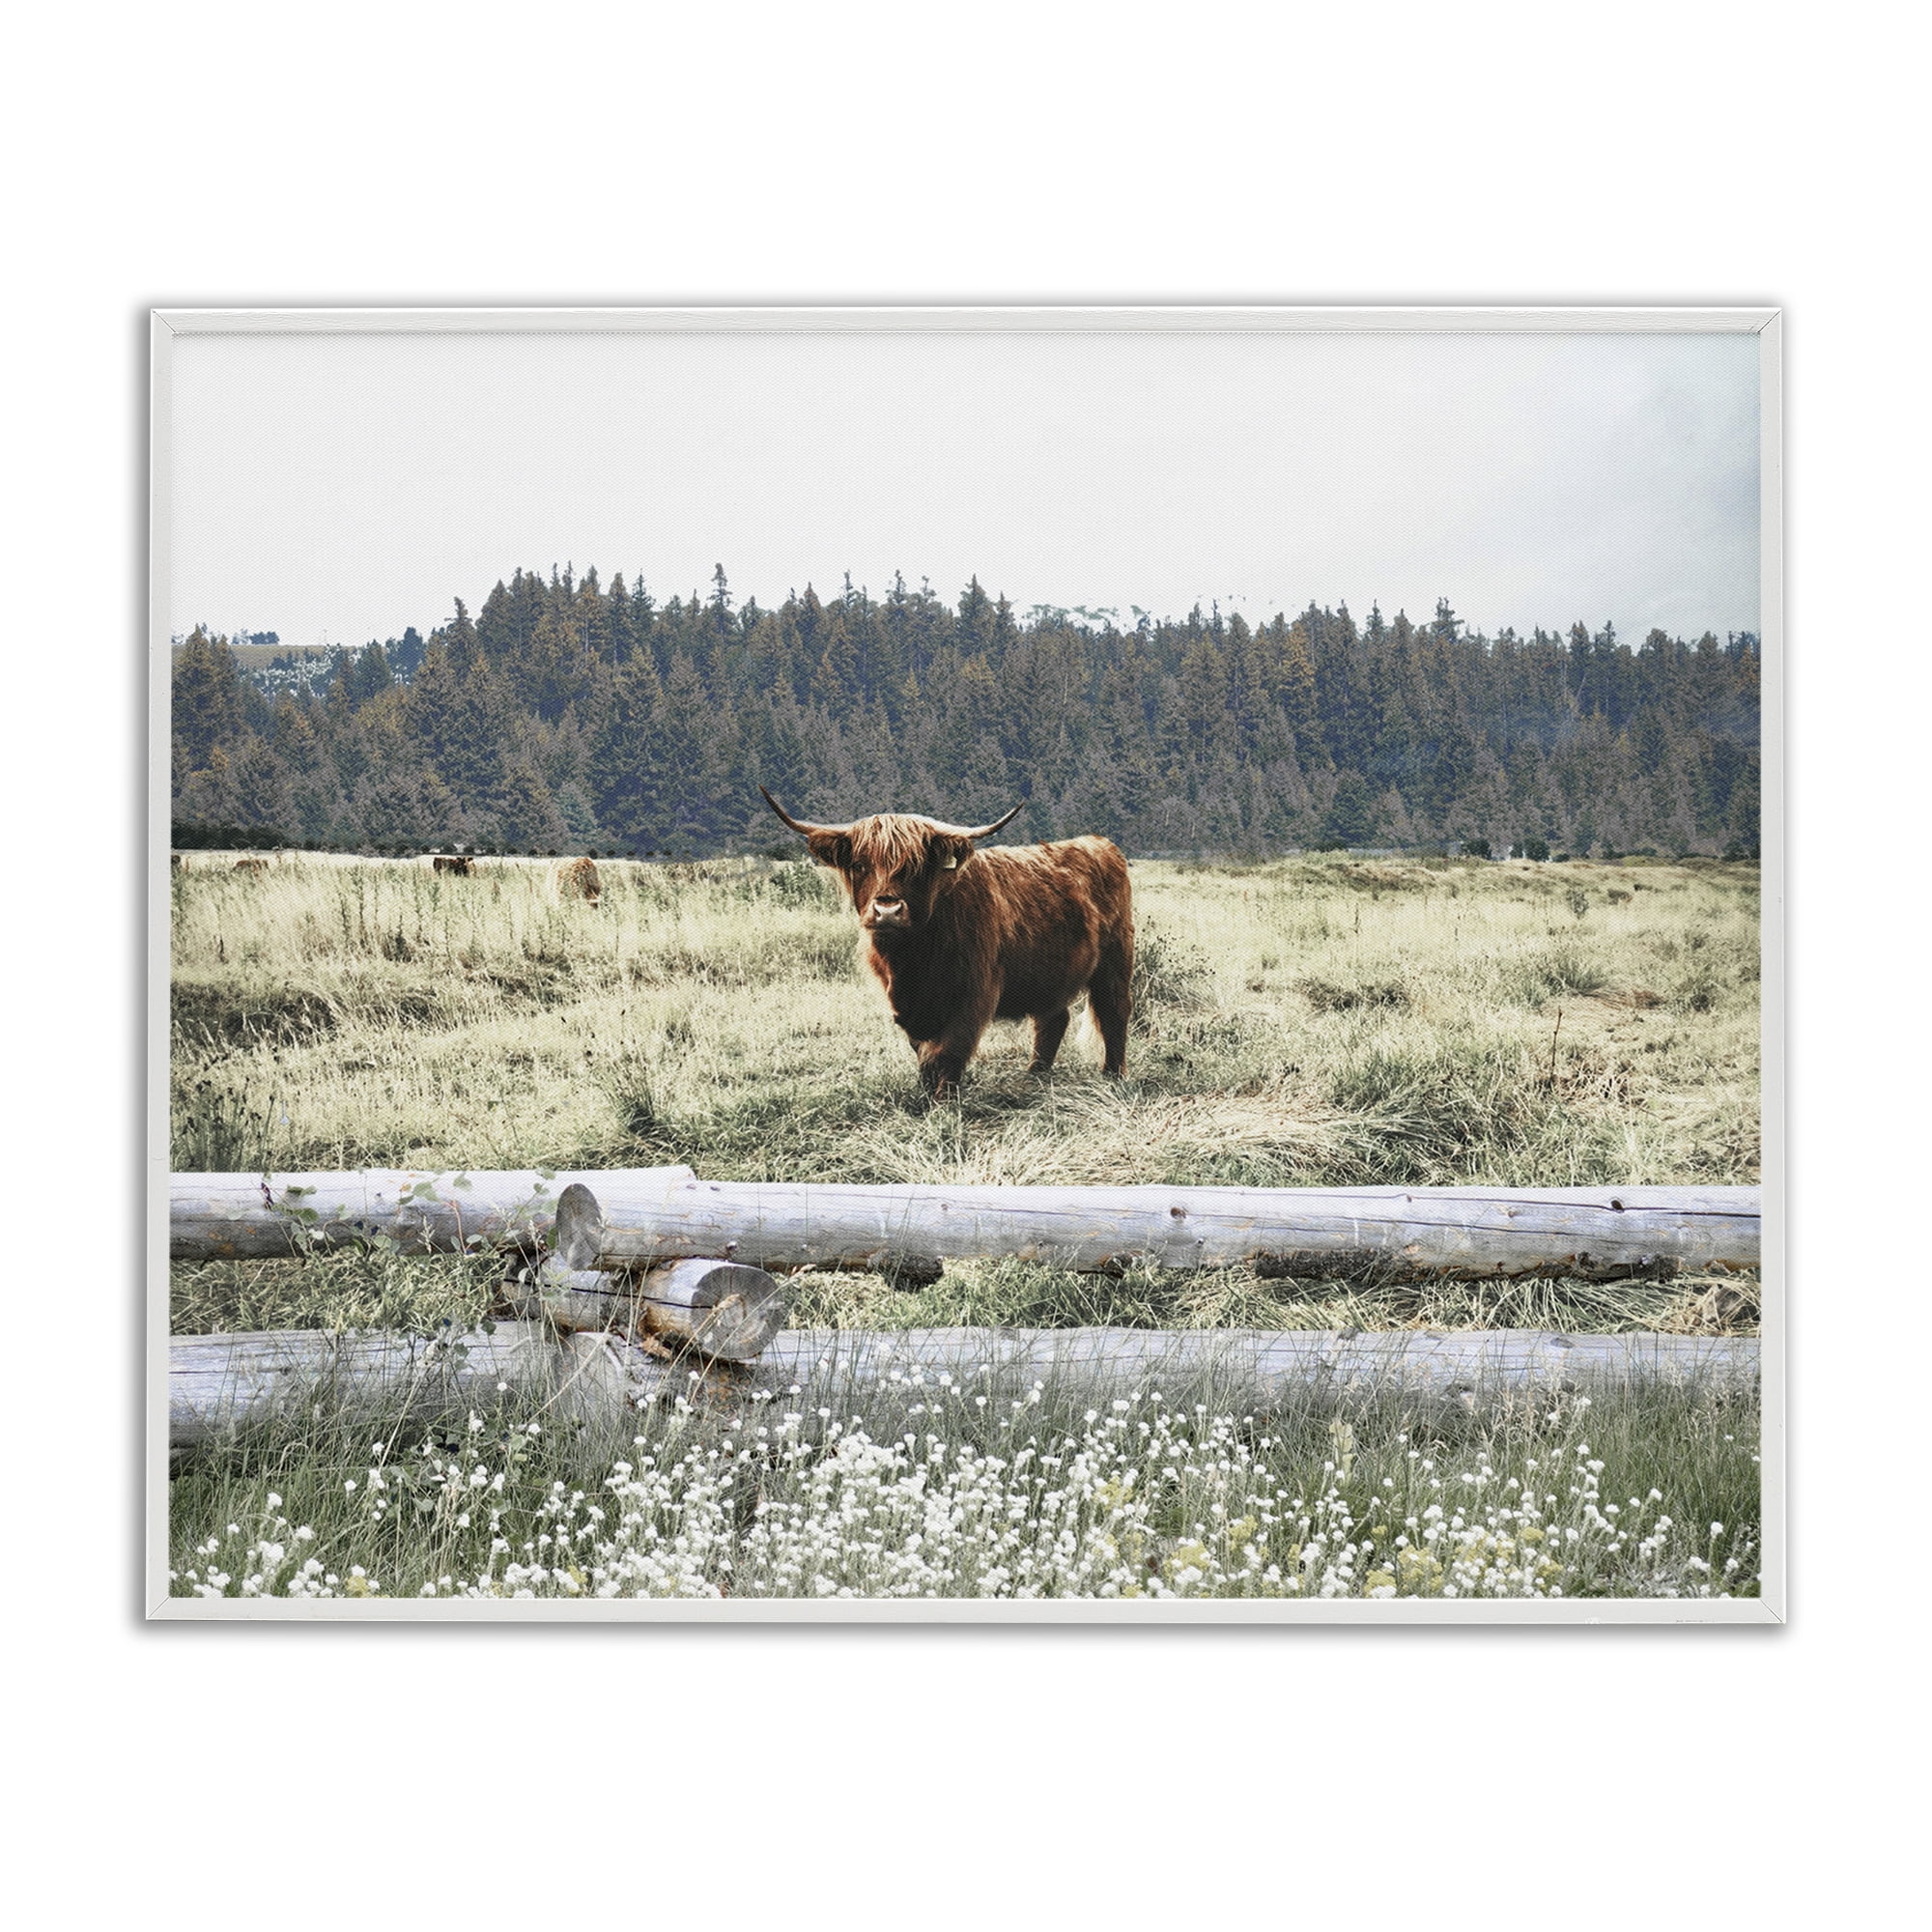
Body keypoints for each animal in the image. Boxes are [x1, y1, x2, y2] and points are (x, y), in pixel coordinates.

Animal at [759, 787, 1133, 1099]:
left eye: (915, 867)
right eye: (860, 864)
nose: (887, 910)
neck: (912, 960)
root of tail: (1100, 843)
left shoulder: (973, 994)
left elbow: (949, 1051)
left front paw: (944, 1102)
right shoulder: (907, 1005)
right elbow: (923, 1052)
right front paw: (926, 1095)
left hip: (1115, 960)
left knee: (1114, 1012)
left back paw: (1112, 1076)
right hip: (1048, 973)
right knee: (1052, 1019)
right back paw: (1034, 1077)